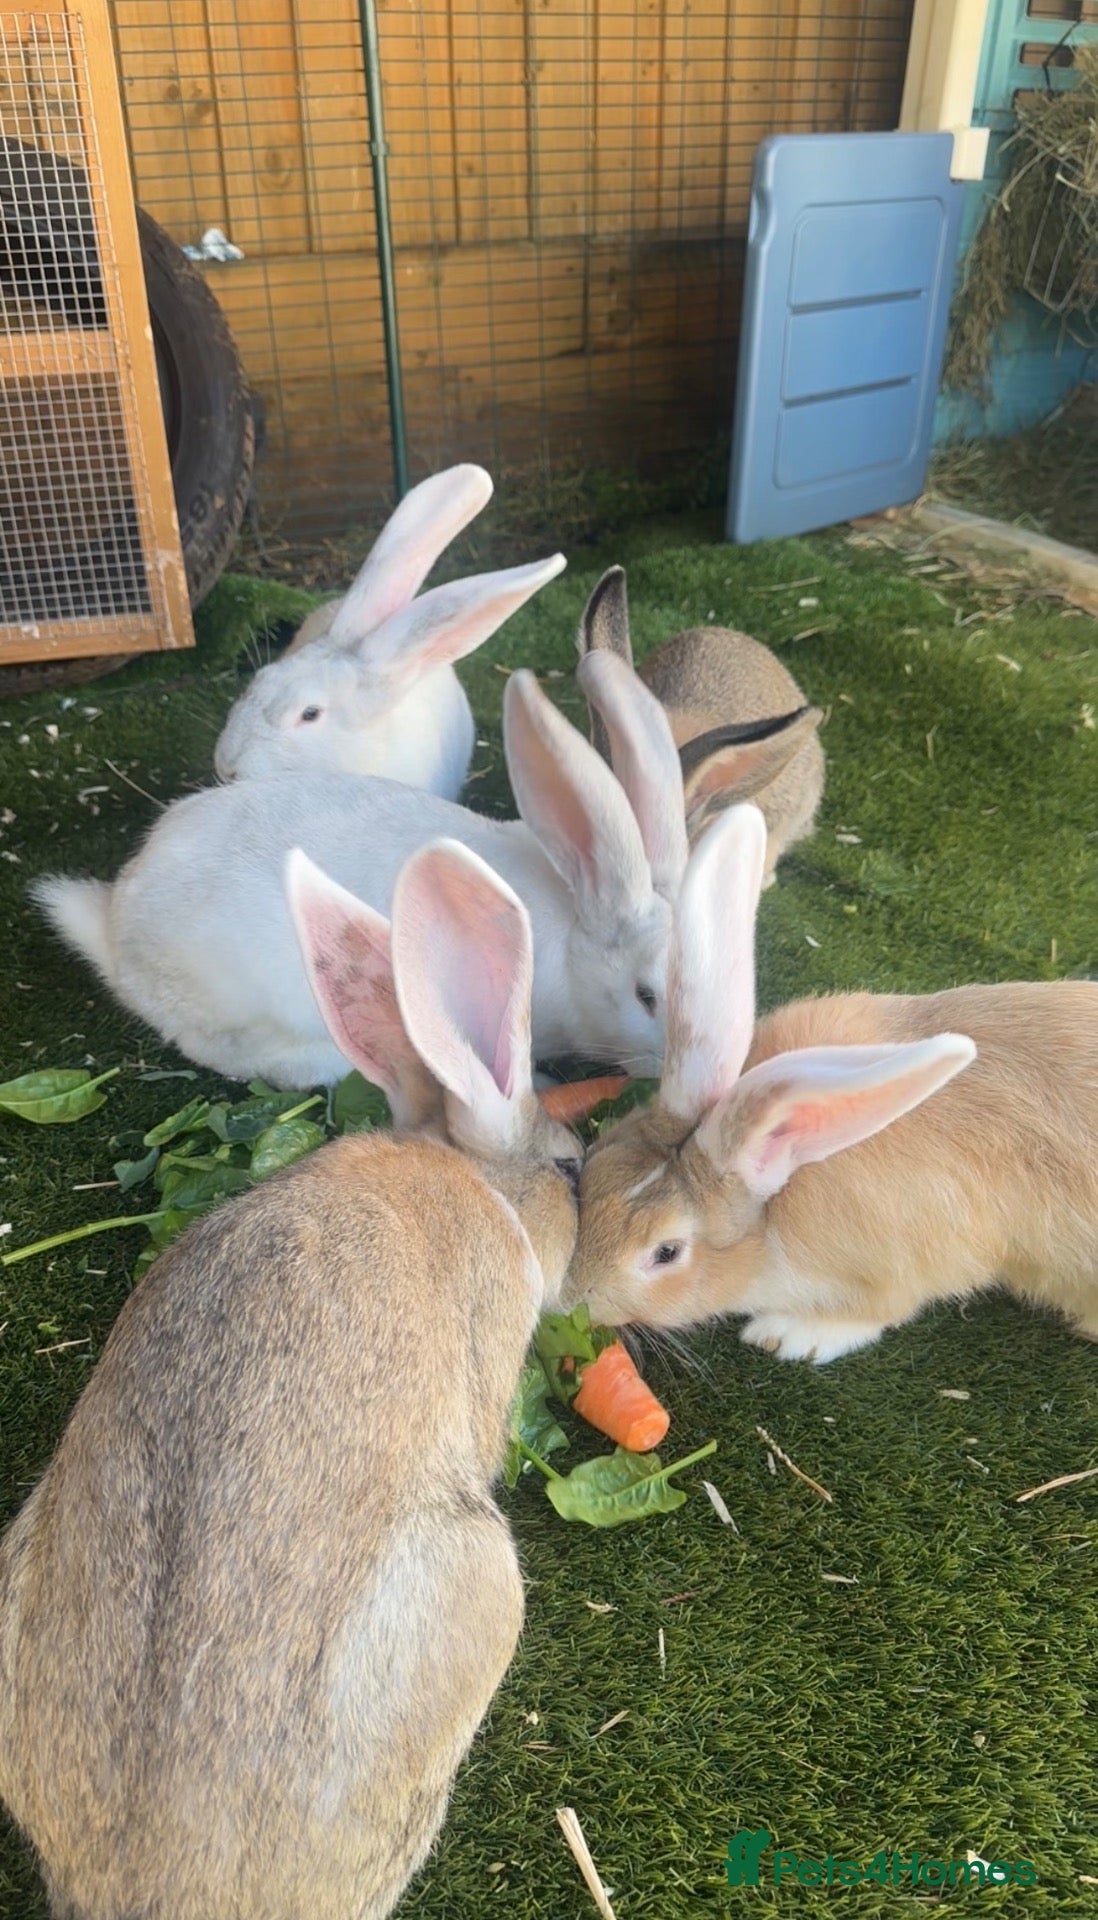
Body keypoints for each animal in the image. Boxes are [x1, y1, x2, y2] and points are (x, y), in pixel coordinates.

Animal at [567, 801, 1098, 1362]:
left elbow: (877, 1314)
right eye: (591, 1166)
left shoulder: (899, 1273)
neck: (778, 1205)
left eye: (666, 1252)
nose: (570, 1298)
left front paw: (788, 1334)